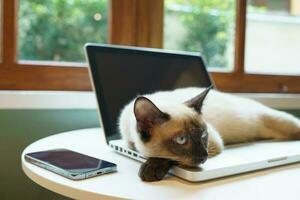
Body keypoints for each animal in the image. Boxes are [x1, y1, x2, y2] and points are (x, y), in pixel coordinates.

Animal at [118, 87, 300, 169]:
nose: (204, 156)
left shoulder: (214, 142)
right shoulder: (129, 142)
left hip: (284, 122)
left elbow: (164, 158)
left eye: (203, 135)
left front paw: (149, 172)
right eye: (181, 140)